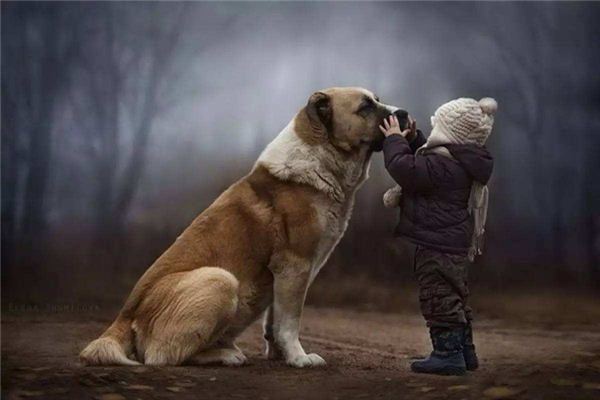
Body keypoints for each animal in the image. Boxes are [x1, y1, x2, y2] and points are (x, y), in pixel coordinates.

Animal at [78, 87, 398, 368]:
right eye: (365, 107)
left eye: (377, 100)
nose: (403, 114)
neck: (320, 159)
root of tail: (124, 316)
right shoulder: (295, 266)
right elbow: (290, 321)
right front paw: (299, 358)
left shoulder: (284, 275)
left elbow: (274, 321)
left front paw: (280, 355)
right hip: (220, 279)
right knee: (162, 356)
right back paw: (227, 355)